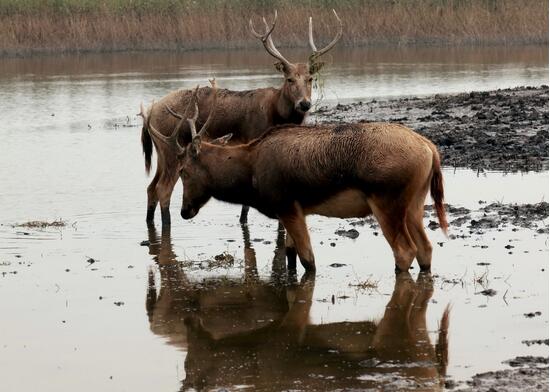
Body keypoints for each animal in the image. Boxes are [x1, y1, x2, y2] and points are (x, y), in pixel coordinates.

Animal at [140, 9, 342, 227]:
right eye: (289, 79)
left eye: (310, 79)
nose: (304, 104)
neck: (276, 113)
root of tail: (150, 113)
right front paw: (243, 219)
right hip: (171, 149)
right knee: (163, 189)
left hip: (162, 153)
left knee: (151, 188)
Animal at [148, 79, 452, 272]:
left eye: (185, 170)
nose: (185, 210)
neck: (249, 173)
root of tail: (430, 149)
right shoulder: (295, 211)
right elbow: (292, 259)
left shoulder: (286, 206)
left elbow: (308, 263)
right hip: (414, 204)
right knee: (425, 249)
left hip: (387, 202)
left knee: (405, 252)